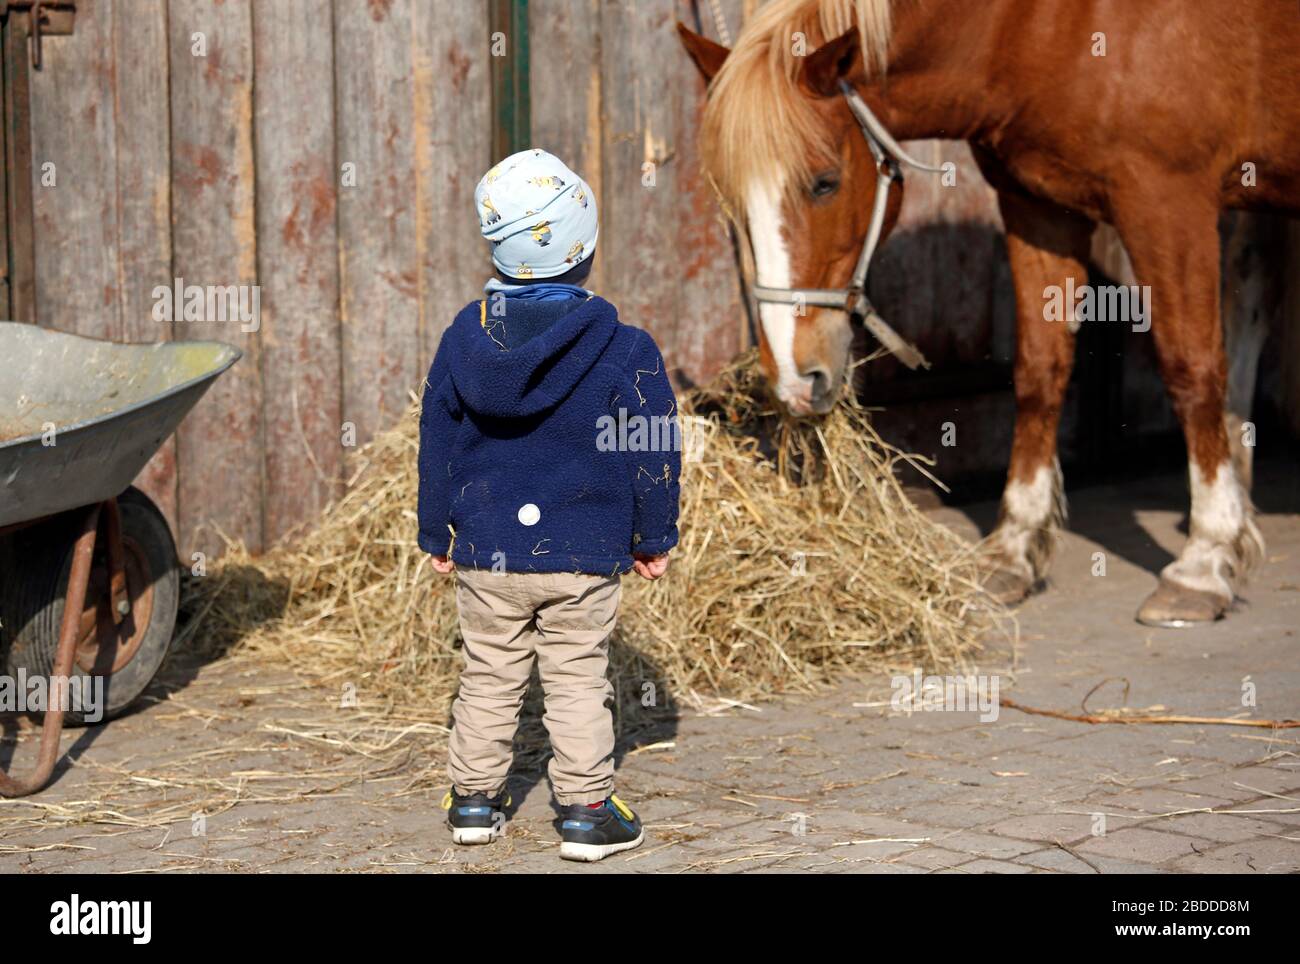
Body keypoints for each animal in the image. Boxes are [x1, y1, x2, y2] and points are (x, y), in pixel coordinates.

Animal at [681, 0, 1300, 631]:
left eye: (824, 183)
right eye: (732, 200)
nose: (793, 378)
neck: (1045, 25)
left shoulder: (1166, 201)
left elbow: (1189, 369)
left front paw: (1204, 560)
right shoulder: (1038, 206)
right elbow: (1039, 373)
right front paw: (1015, 548)